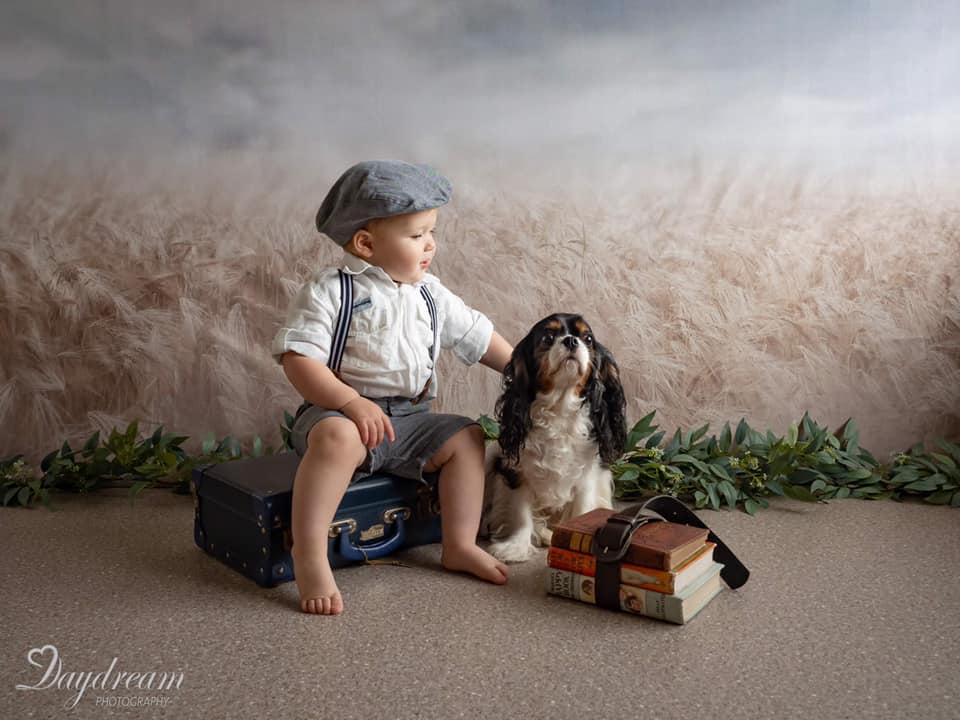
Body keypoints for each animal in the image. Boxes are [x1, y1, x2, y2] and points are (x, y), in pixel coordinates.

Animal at [484, 314, 628, 564]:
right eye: (548, 338)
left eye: (588, 339)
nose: (571, 340)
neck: (559, 408)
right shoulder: (516, 472)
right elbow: (521, 513)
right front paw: (515, 547)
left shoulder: (588, 475)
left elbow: (583, 509)